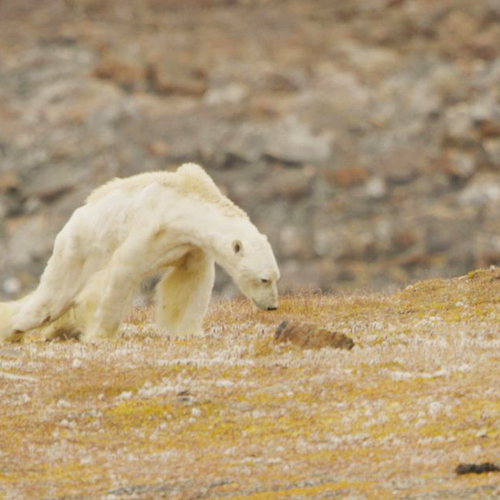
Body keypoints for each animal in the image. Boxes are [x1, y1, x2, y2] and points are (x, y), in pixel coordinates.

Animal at [0, 164, 282, 344]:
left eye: (275, 277)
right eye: (264, 279)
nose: (272, 306)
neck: (186, 200)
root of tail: (74, 218)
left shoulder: (190, 245)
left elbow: (191, 282)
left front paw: (189, 331)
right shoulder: (151, 227)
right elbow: (123, 270)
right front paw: (99, 334)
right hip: (78, 249)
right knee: (52, 298)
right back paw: (13, 330)